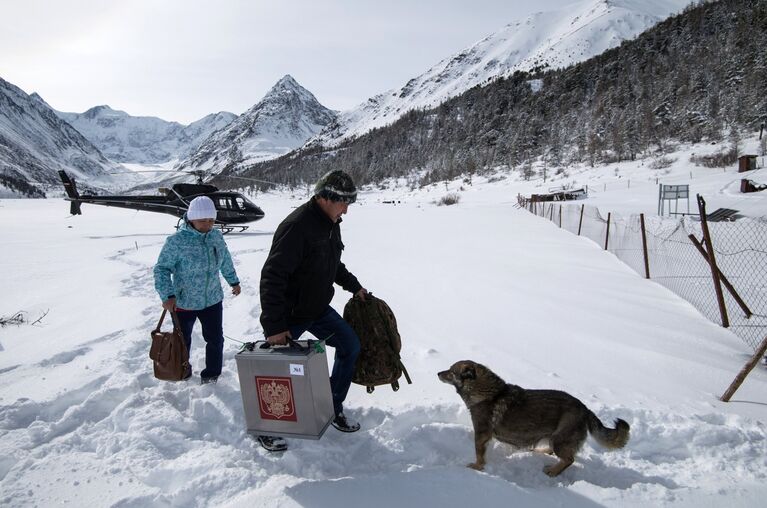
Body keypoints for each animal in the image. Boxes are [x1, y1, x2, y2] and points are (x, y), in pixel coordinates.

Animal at [438, 360, 632, 474]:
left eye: (451, 371)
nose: (438, 373)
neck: (486, 391)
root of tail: (585, 409)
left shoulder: (482, 434)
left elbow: (479, 454)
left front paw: (477, 468)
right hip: (555, 438)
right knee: (555, 452)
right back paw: (541, 452)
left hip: (561, 440)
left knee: (569, 459)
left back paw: (552, 472)